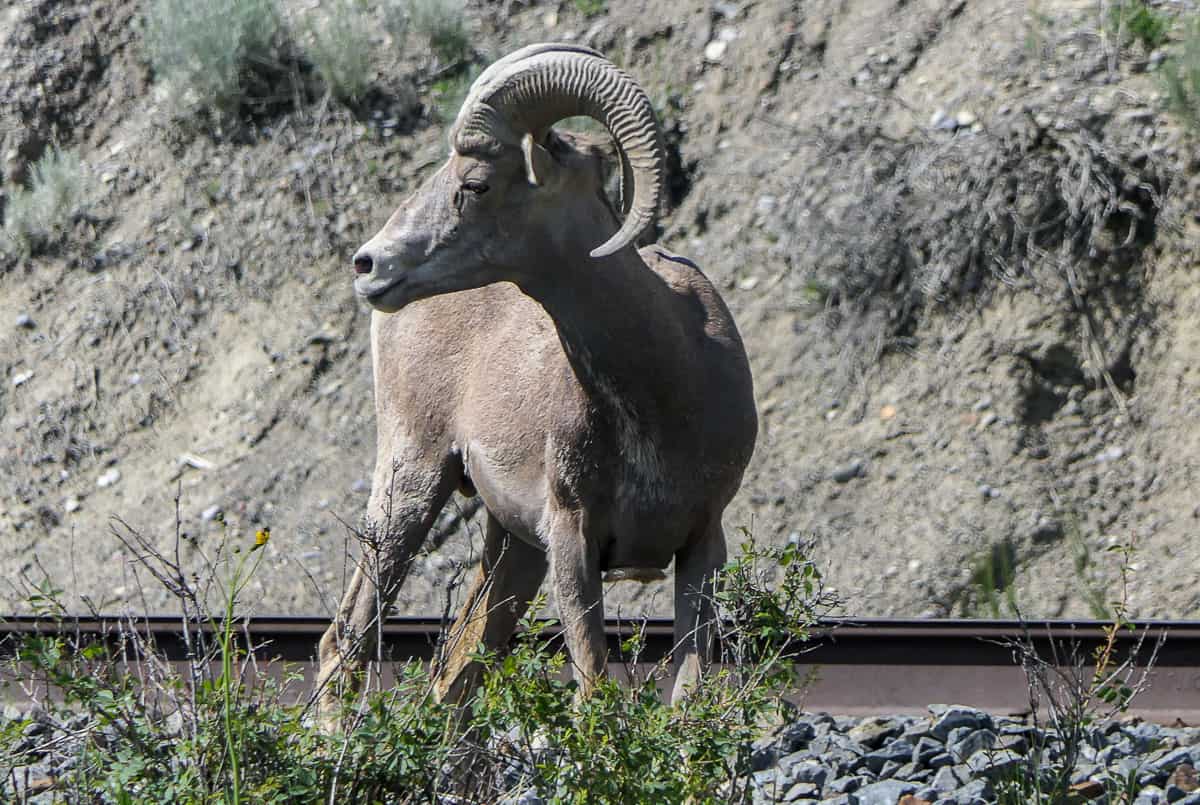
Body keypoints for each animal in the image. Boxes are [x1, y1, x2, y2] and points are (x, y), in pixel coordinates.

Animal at [314, 44, 753, 719]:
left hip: (510, 546)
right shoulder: (572, 540)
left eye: (475, 184)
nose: (369, 264)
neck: (662, 390)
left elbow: (687, 693)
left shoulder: (701, 545)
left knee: (456, 669)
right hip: (410, 486)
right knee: (348, 637)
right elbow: (594, 688)